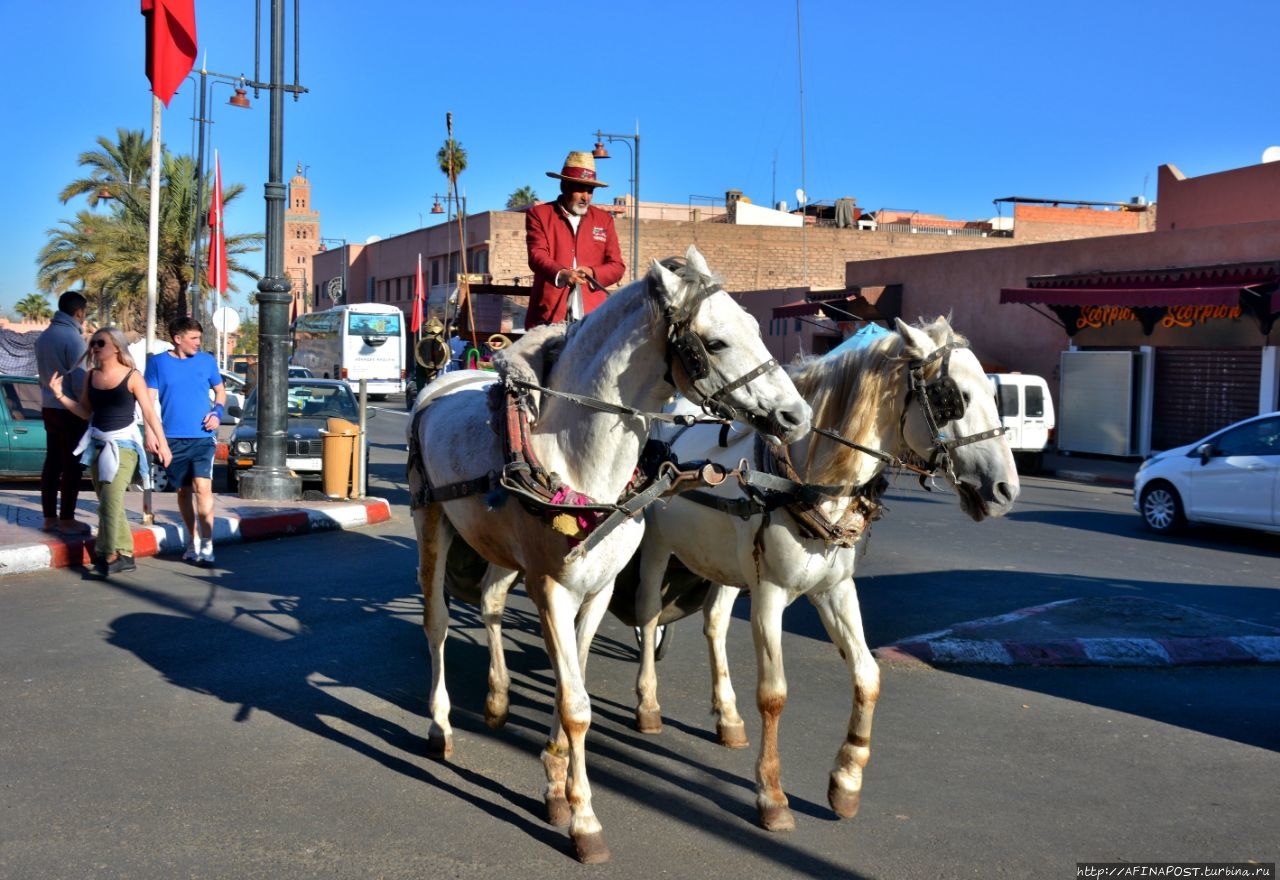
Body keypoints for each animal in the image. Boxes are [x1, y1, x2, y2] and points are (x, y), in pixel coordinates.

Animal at [409, 244, 808, 864]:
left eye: (757, 327)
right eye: (716, 341)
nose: (796, 416)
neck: (575, 454)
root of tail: (440, 383)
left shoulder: (594, 590)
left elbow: (568, 682)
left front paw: (555, 782)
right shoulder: (551, 588)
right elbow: (577, 706)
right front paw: (584, 821)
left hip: (498, 547)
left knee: (493, 604)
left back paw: (497, 700)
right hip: (432, 523)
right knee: (437, 623)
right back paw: (441, 726)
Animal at [619, 315, 1018, 833]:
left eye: (994, 394)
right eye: (955, 397)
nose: (1006, 489)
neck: (810, 482)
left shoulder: (835, 589)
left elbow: (868, 676)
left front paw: (846, 780)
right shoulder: (769, 593)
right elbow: (773, 695)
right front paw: (771, 794)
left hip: (726, 564)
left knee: (715, 623)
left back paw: (727, 716)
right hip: (655, 550)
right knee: (648, 618)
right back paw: (648, 705)